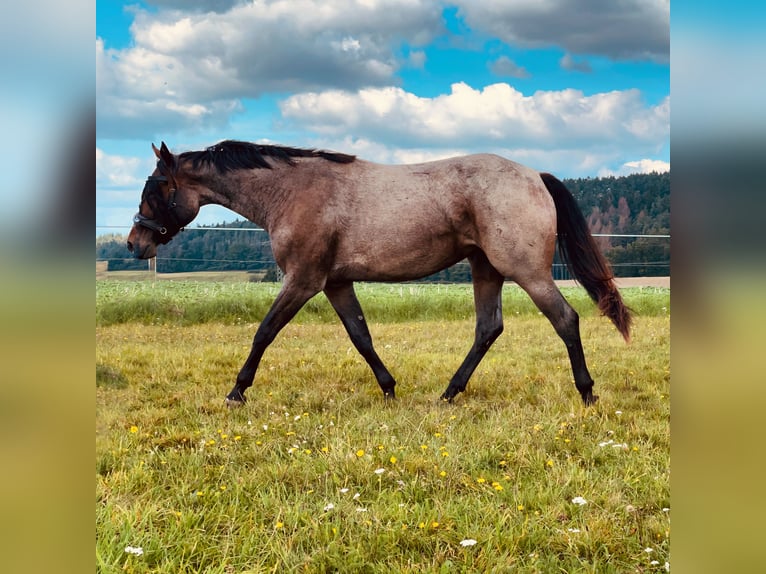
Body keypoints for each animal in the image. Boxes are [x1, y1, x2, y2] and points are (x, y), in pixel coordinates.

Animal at [127, 140, 631, 407]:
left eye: (157, 187)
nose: (134, 243)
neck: (294, 192)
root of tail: (534, 175)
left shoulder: (304, 281)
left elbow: (264, 332)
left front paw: (237, 391)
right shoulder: (335, 283)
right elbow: (361, 336)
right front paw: (389, 389)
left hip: (524, 271)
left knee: (565, 319)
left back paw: (587, 394)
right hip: (485, 269)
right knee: (489, 328)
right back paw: (448, 394)